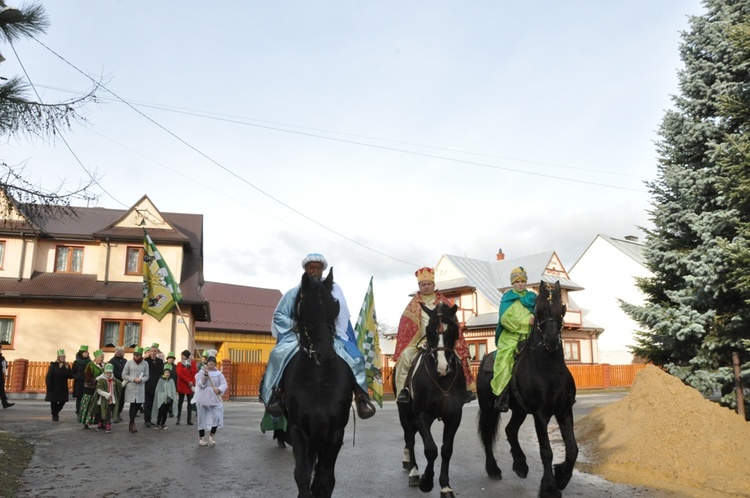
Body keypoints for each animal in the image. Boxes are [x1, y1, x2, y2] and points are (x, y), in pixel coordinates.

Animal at [280, 268, 356, 498]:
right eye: (305, 305)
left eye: (334, 305)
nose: (325, 354)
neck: (318, 380)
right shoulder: (298, 430)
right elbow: (303, 475)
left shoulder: (334, 433)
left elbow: (325, 480)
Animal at [396, 302, 468, 496]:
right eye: (429, 330)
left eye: (452, 329)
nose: (442, 368)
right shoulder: (421, 414)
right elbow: (430, 449)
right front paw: (426, 481)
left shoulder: (454, 415)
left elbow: (446, 449)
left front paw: (445, 487)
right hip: (405, 414)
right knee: (410, 439)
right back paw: (414, 472)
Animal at [478, 282, 580, 496]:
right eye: (538, 311)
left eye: (562, 309)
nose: (551, 339)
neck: (550, 370)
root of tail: (485, 359)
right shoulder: (540, 415)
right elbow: (546, 451)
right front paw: (549, 487)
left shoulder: (565, 411)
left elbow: (572, 449)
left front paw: (562, 478)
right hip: (489, 408)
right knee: (488, 435)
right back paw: (493, 469)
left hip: (520, 411)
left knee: (510, 430)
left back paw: (520, 466)